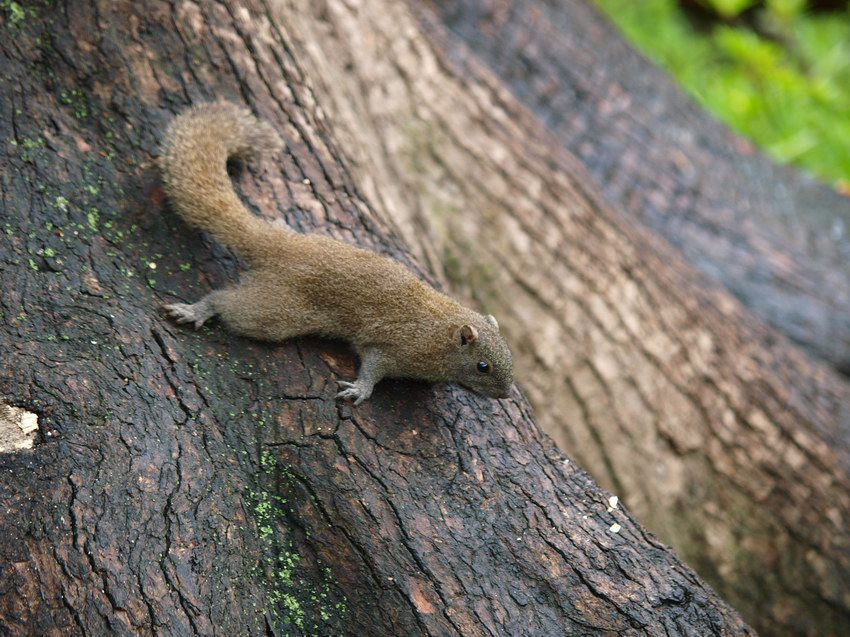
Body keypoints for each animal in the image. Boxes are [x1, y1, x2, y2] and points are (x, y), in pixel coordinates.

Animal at [157, 102, 510, 404]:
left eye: (509, 356)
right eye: (483, 366)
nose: (506, 395)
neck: (442, 331)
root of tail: (283, 248)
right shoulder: (396, 347)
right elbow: (374, 367)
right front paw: (360, 389)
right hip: (276, 310)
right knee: (228, 303)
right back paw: (198, 310)